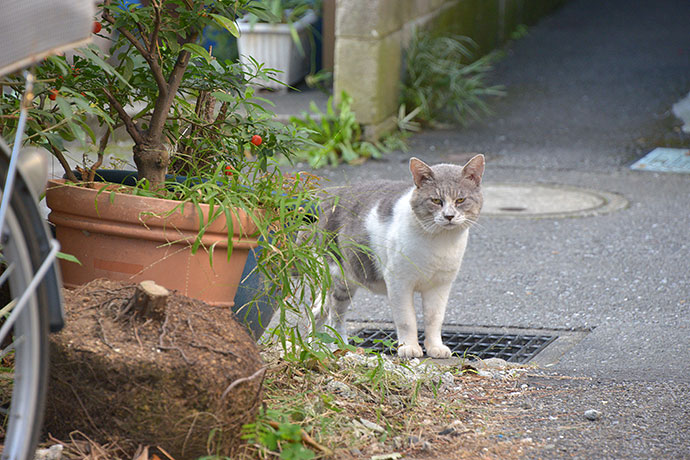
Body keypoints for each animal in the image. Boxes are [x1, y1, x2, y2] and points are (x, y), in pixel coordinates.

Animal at [312, 155, 484, 360]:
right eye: (436, 200)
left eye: (460, 200)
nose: (449, 216)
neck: (440, 243)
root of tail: (328, 194)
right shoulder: (399, 283)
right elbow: (407, 319)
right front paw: (409, 348)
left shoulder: (440, 285)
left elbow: (434, 319)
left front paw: (435, 347)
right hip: (338, 277)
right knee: (334, 316)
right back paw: (340, 347)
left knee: (317, 311)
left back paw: (312, 347)